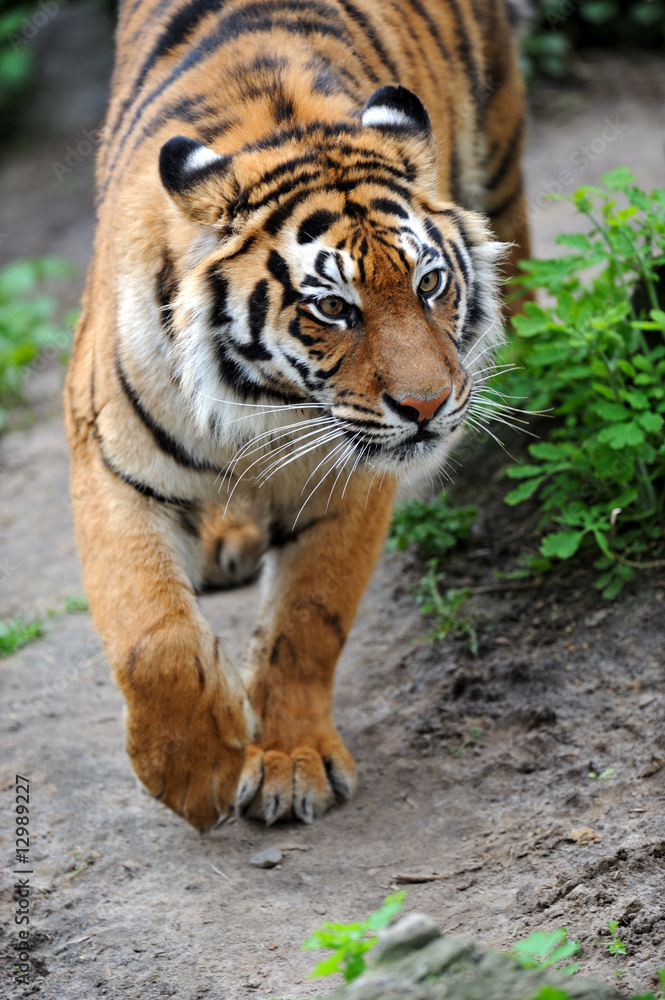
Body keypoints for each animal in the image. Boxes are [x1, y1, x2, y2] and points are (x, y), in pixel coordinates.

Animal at [64, 0, 530, 832]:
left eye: (430, 283)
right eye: (333, 308)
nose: (427, 406)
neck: (266, 403)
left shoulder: (351, 478)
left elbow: (308, 619)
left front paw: (288, 763)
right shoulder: (110, 465)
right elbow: (149, 637)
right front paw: (195, 771)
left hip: (499, 127)